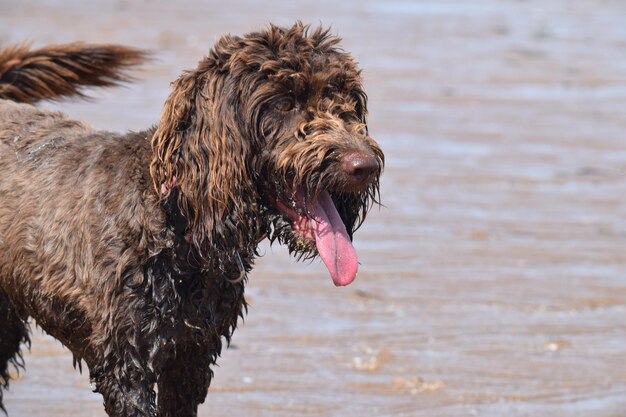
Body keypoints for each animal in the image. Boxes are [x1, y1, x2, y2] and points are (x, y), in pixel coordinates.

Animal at [0, 23, 380, 416]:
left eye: (349, 103)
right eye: (286, 102)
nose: (365, 166)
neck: (180, 232)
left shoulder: (190, 358)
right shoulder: (125, 364)